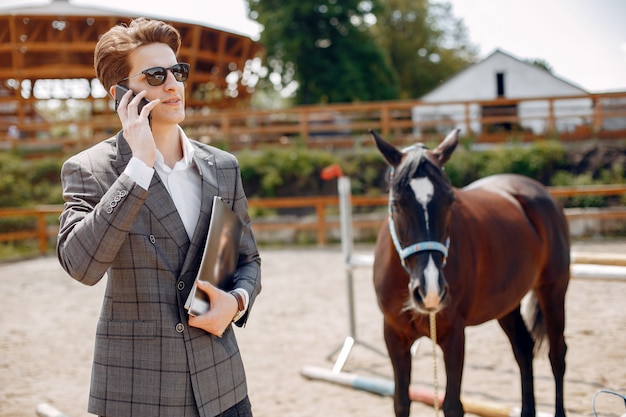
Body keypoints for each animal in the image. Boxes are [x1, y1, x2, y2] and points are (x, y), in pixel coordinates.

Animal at [370, 129, 572, 416]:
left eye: (450, 200)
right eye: (397, 203)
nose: (430, 291)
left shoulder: (454, 335)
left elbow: (453, 405)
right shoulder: (394, 336)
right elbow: (401, 401)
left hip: (553, 291)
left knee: (557, 355)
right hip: (506, 304)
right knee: (524, 349)